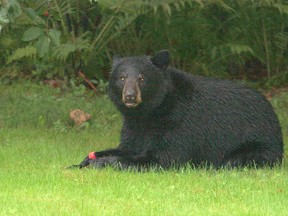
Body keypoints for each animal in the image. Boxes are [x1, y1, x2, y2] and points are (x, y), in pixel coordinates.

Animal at [72, 50, 284, 169]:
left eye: (142, 78)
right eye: (122, 78)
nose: (130, 96)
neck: (149, 113)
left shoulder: (177, 125)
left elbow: (162, 157)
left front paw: (102, 163)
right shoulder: (134, 128)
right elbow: (126, 147)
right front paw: (82, 161)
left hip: (259, 146)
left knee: (235, 161)